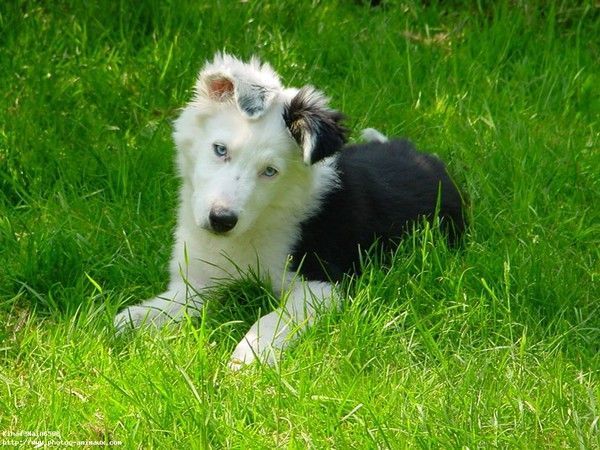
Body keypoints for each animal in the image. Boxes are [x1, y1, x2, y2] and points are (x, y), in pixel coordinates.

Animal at [115, 52, 466, 370]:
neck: (256, 225)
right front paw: (122, 324)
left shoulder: (322, 284)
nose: (221, 221)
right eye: (220, 149)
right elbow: (161, 307)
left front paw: (247, 360)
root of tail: (423, 156)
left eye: (270, 171)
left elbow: (271, 320)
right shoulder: (198, 282)